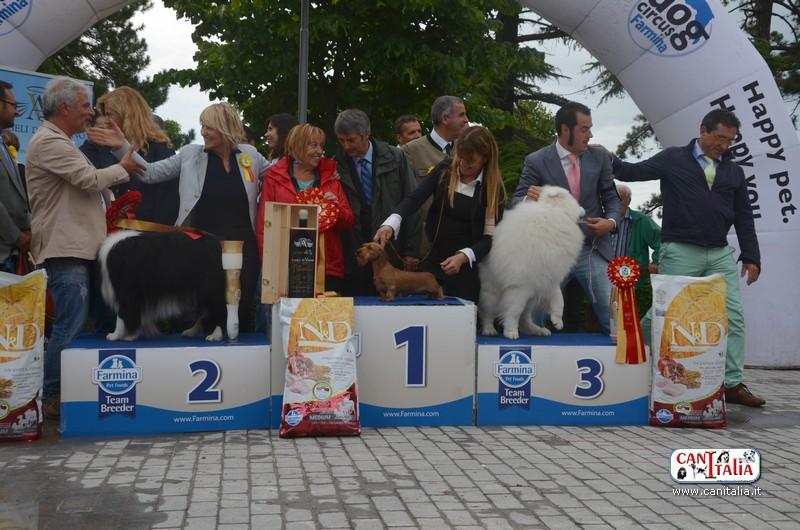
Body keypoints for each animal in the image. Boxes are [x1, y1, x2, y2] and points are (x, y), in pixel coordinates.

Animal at [98, 230, 227, 341]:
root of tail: (217, 243)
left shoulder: (126, 290)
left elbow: (122, 315)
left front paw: (115, 335)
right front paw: (131, 335)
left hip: (211, 287)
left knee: (218, 309)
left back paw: (215, 335)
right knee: (204, 312)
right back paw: (191, 331)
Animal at [478, 185, 585, 339]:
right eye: (573, 199)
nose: (584, 210)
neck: (553, 213)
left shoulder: (549, 278)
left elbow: (559, 300)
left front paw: (557, 321)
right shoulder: (520, 285)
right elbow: (514, 311)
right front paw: (510, 332)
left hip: (530, 296)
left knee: (525, 317)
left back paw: (536, 330)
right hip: (492, 290)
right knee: (488, 311)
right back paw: (489, 329)